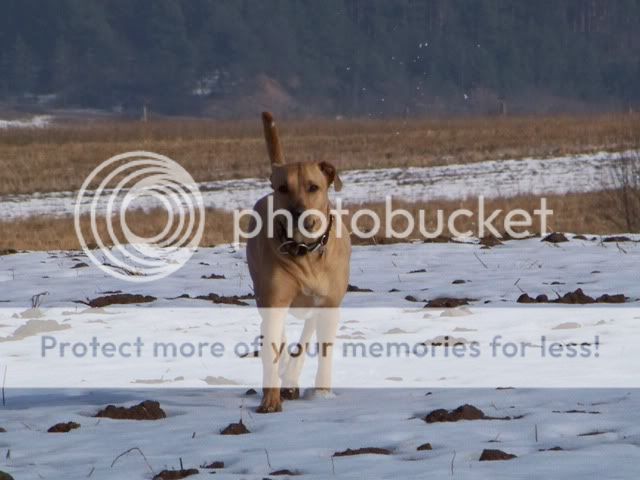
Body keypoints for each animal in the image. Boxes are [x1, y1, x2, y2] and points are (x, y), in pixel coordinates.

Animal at [246, 112, 351, 413]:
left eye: (313, 187)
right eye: (283, 188)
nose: (298, 212)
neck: (306, 251)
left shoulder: (329, 304)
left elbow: (323, 351)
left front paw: (323, 393)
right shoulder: (274, 299)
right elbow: (271, 351)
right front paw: (270, 400)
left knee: (305, 333)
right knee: (277, 335)